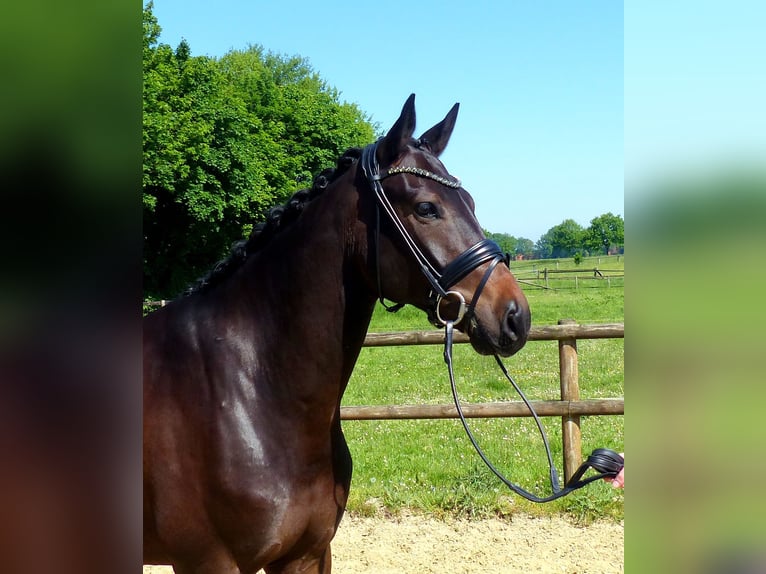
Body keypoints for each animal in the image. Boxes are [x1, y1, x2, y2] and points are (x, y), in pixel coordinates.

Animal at [144, 95, 532, 574]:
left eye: (472, 203)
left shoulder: (308, 554)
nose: (515, 316)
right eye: (426, 208)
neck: (247, 391)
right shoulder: (206, 561)